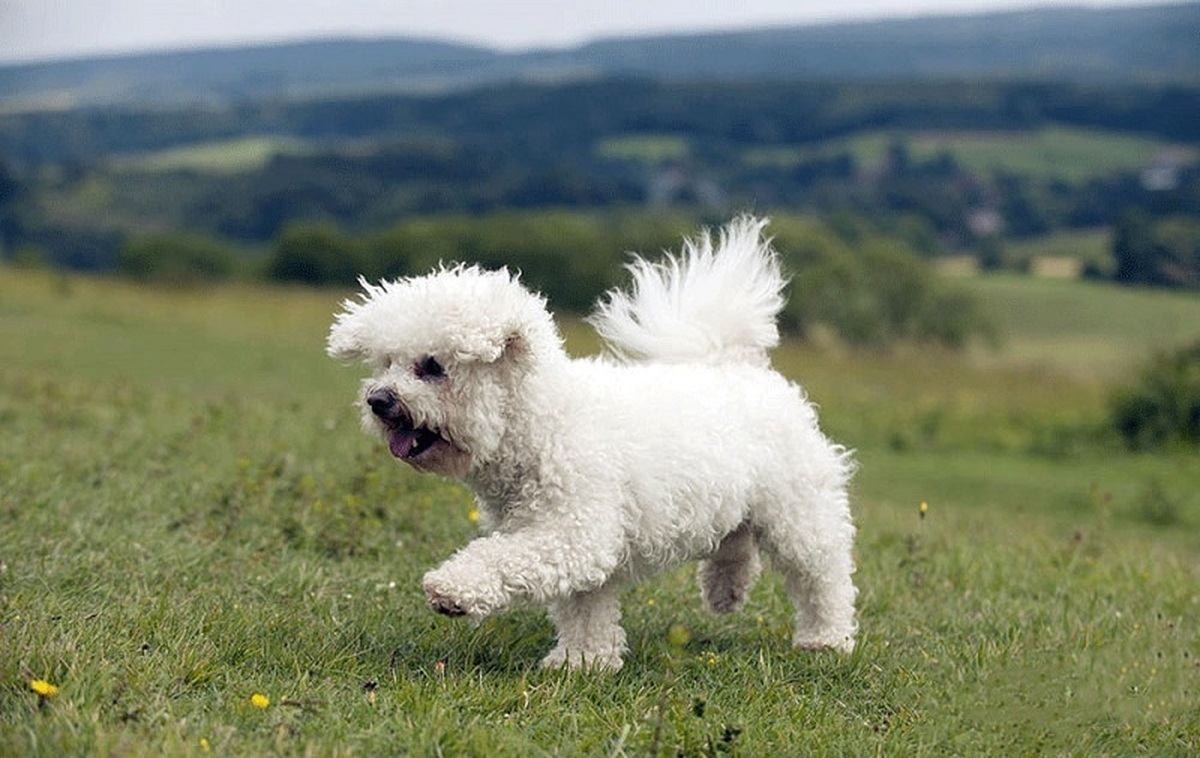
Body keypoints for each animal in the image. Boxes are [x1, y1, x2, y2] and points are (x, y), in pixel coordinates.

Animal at [328, 214, 854, 666]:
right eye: (385, 362)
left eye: (433, 366)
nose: (378, 400)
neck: (545, 423)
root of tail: (740, 365)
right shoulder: (585, 540)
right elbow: (585, 605)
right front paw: (583, 662)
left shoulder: (574, 529)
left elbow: (506, 560)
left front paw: (454, 589)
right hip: (734, 501)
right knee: (736, 542)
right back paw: (725, 591)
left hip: (797, 513)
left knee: (824, 576)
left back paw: (826, 639)